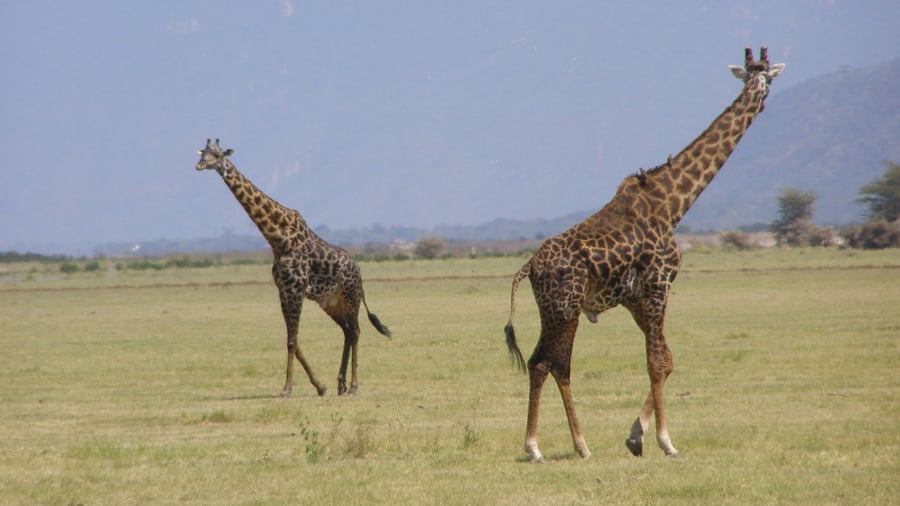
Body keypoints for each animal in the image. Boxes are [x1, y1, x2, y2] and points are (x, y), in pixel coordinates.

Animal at [195, 139, 391, 397]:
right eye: (203, 153)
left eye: (217, 155)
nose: (199, 165)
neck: (279, 239)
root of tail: (359, 271)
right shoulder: (284, 290)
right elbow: (293, 340)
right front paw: (320, 386)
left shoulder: (295, 289)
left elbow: (291, 340)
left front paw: (287, 388)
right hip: (331, 303)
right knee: (348, 331)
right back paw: (340, 384)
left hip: (351, 297)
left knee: (356, 331)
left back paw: (353, 387)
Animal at [504, 47, 784, 463]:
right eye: (759, 76)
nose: (761, 97)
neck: (671, 203)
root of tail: (530, 267)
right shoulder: (658, 283)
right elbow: (655, 362)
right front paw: (666, 442)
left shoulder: (635, 298)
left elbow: (666, 360)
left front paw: (636, 436)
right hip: (564, 308)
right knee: (549, 362)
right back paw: (549, 447)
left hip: (558, 310)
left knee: (549, 364)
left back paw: (570, 445)